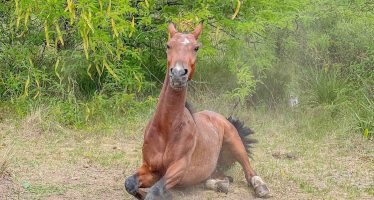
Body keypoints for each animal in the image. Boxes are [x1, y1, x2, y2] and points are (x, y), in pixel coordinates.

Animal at [124, 21, 270, 198]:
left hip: (236, 144)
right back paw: (220, 184)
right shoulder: (151, 168)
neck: (166, 129)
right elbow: (130, 184)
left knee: (249, 171)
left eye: (196, 48)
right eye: (168, 45)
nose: (178, 74)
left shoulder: (178, 169)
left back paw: (260, 187)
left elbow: (155, 191)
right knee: (220, 177)